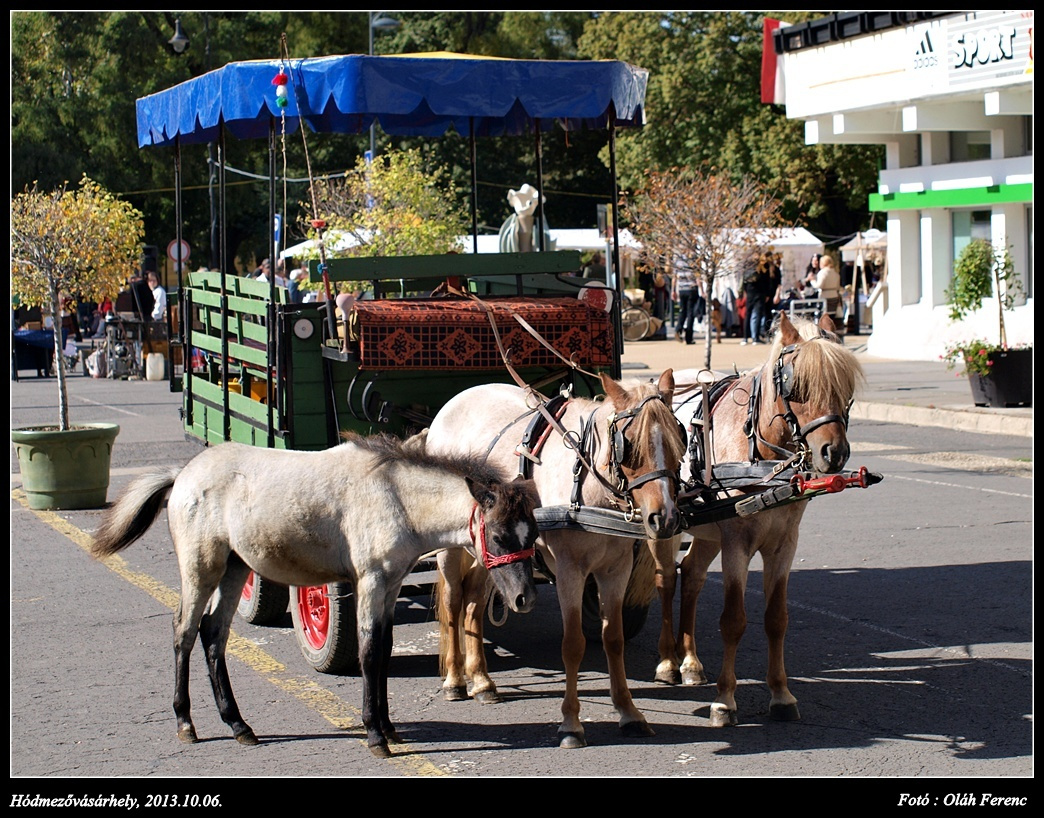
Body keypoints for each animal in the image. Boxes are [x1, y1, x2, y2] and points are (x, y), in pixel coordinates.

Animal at [651, 310, 864, 726]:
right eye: (797, 386)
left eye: (846, 386)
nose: (834, 453)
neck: (762, 456)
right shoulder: (738, 543)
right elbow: (734, 621)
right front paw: (725, 700)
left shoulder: (784, 544)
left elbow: (776, 619)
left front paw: (781, 694)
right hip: (664, 529)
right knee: (667, 580)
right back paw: (668, 661)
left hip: (707, 533)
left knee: (693, 576)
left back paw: (690, 662)